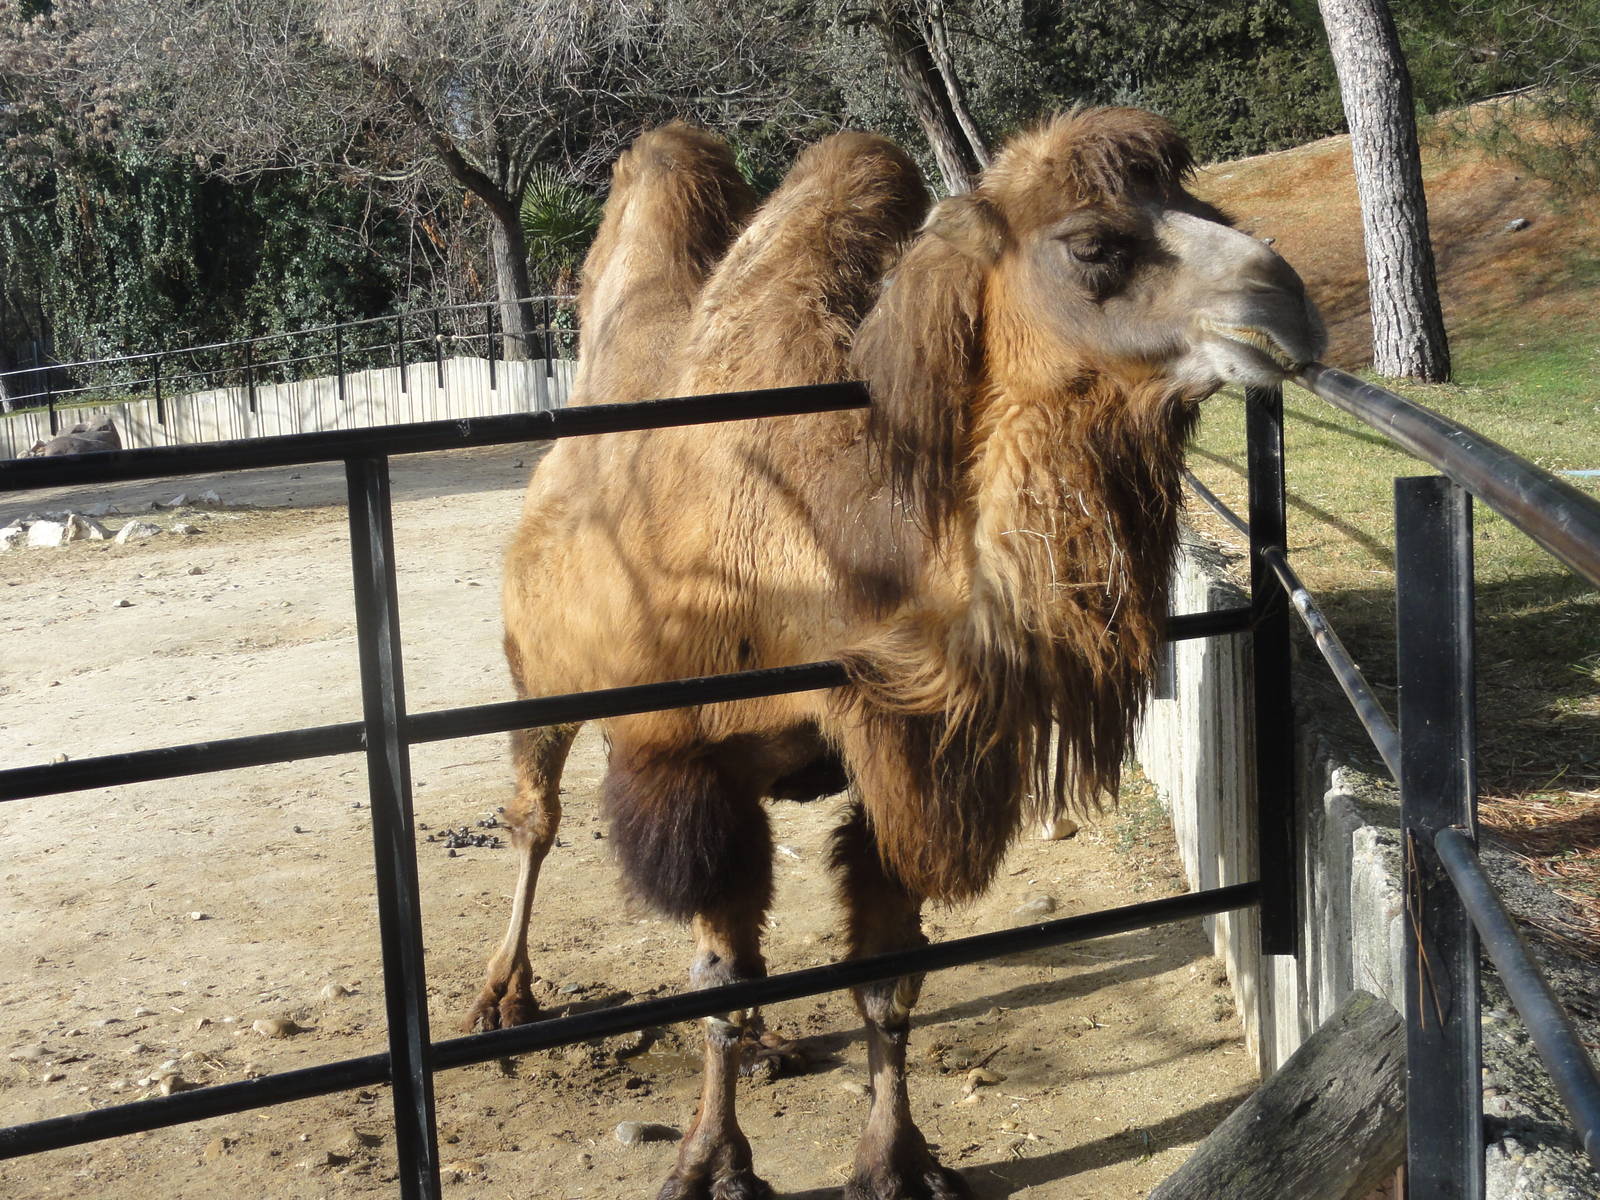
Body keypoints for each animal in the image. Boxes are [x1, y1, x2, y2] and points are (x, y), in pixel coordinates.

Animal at [472, 109, 1325, 1200]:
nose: (1286, 305)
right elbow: (711, 977)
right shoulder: (695, 768)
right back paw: (503, 997)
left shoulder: (908, 755)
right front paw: (712, 1163)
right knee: (535, 818)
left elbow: (887, 977)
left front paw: (897, 1160)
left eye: (1207, 204)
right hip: (538, 678)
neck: (828, 554)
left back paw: (764, 1038)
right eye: (1094, 243)